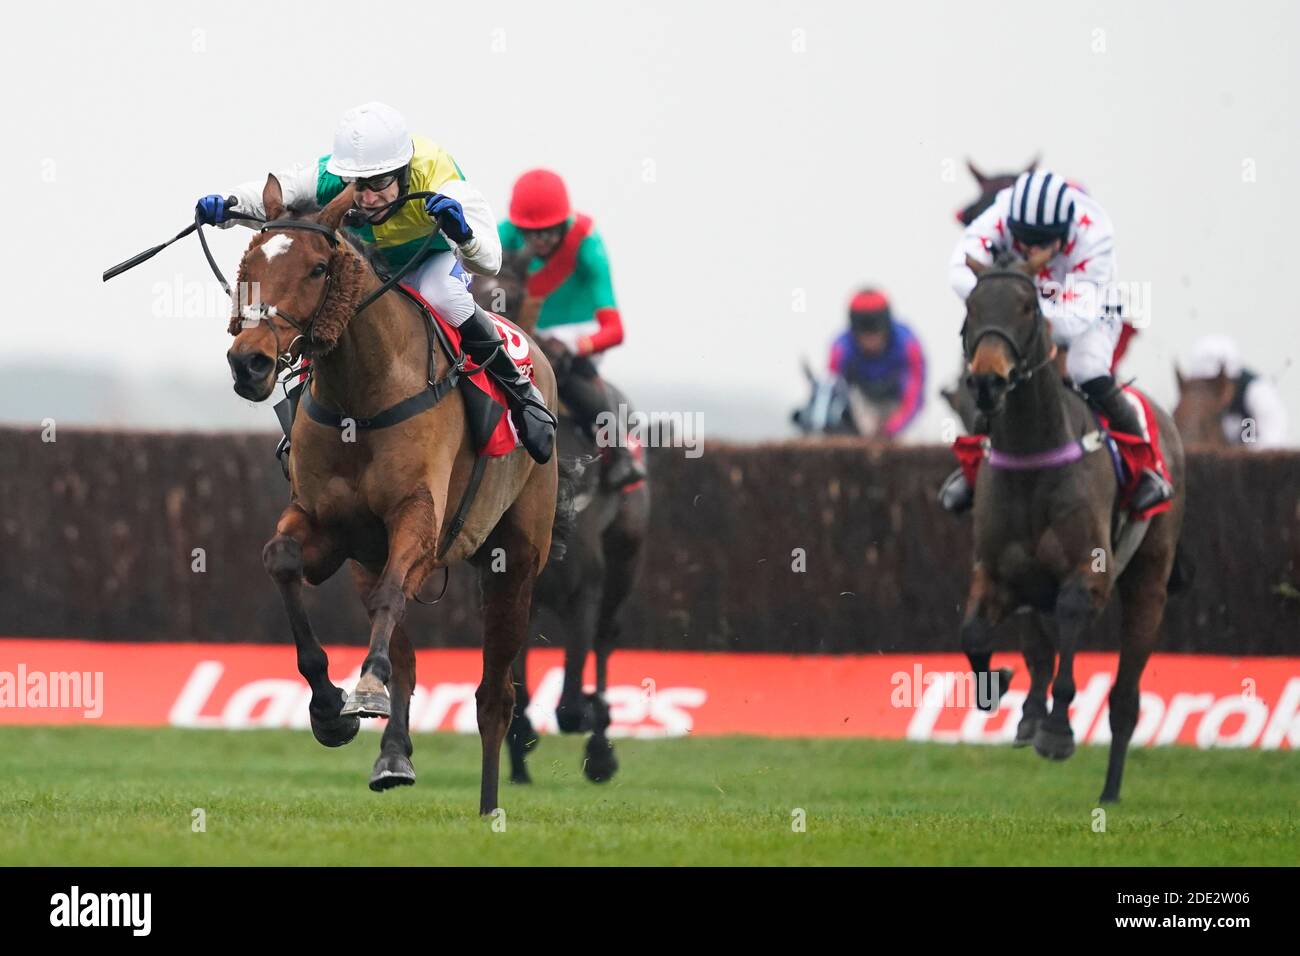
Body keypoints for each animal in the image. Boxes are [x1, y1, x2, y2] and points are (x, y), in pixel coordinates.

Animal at [228, 174, 564, 816]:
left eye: (317, 269)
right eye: (247, 265)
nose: (248, 362)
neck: (361, 396)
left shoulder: (417, 519)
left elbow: (391, 599)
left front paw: (360, 692)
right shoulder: (327, 524)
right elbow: (280, 560)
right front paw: (329, 709)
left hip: (516, 561)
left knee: (494, 694)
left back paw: (490, 806)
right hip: (370, 556)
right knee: (407, 664)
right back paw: (392, 758)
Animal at [473, 254, 650, 785]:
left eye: (509, 295)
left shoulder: (584, 588)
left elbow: (571, 700)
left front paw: (595, 724)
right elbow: (516, 685)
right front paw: (519, 746)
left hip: (626, 555)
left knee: (607, 640)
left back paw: (602, 744)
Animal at [956, 252, 1190, 801]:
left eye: (1027, 306)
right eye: (973, 305)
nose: (987, 382)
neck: (1032, 453)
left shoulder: (1088, 574)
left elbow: (1069, 636)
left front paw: (1058, 733)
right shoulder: (996, 573)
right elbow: (975, 635)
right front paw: (1003, 686)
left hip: (1149, 580)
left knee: (1125, 698)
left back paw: (1109, 790)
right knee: (1040, 650)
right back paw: (1028, 716)